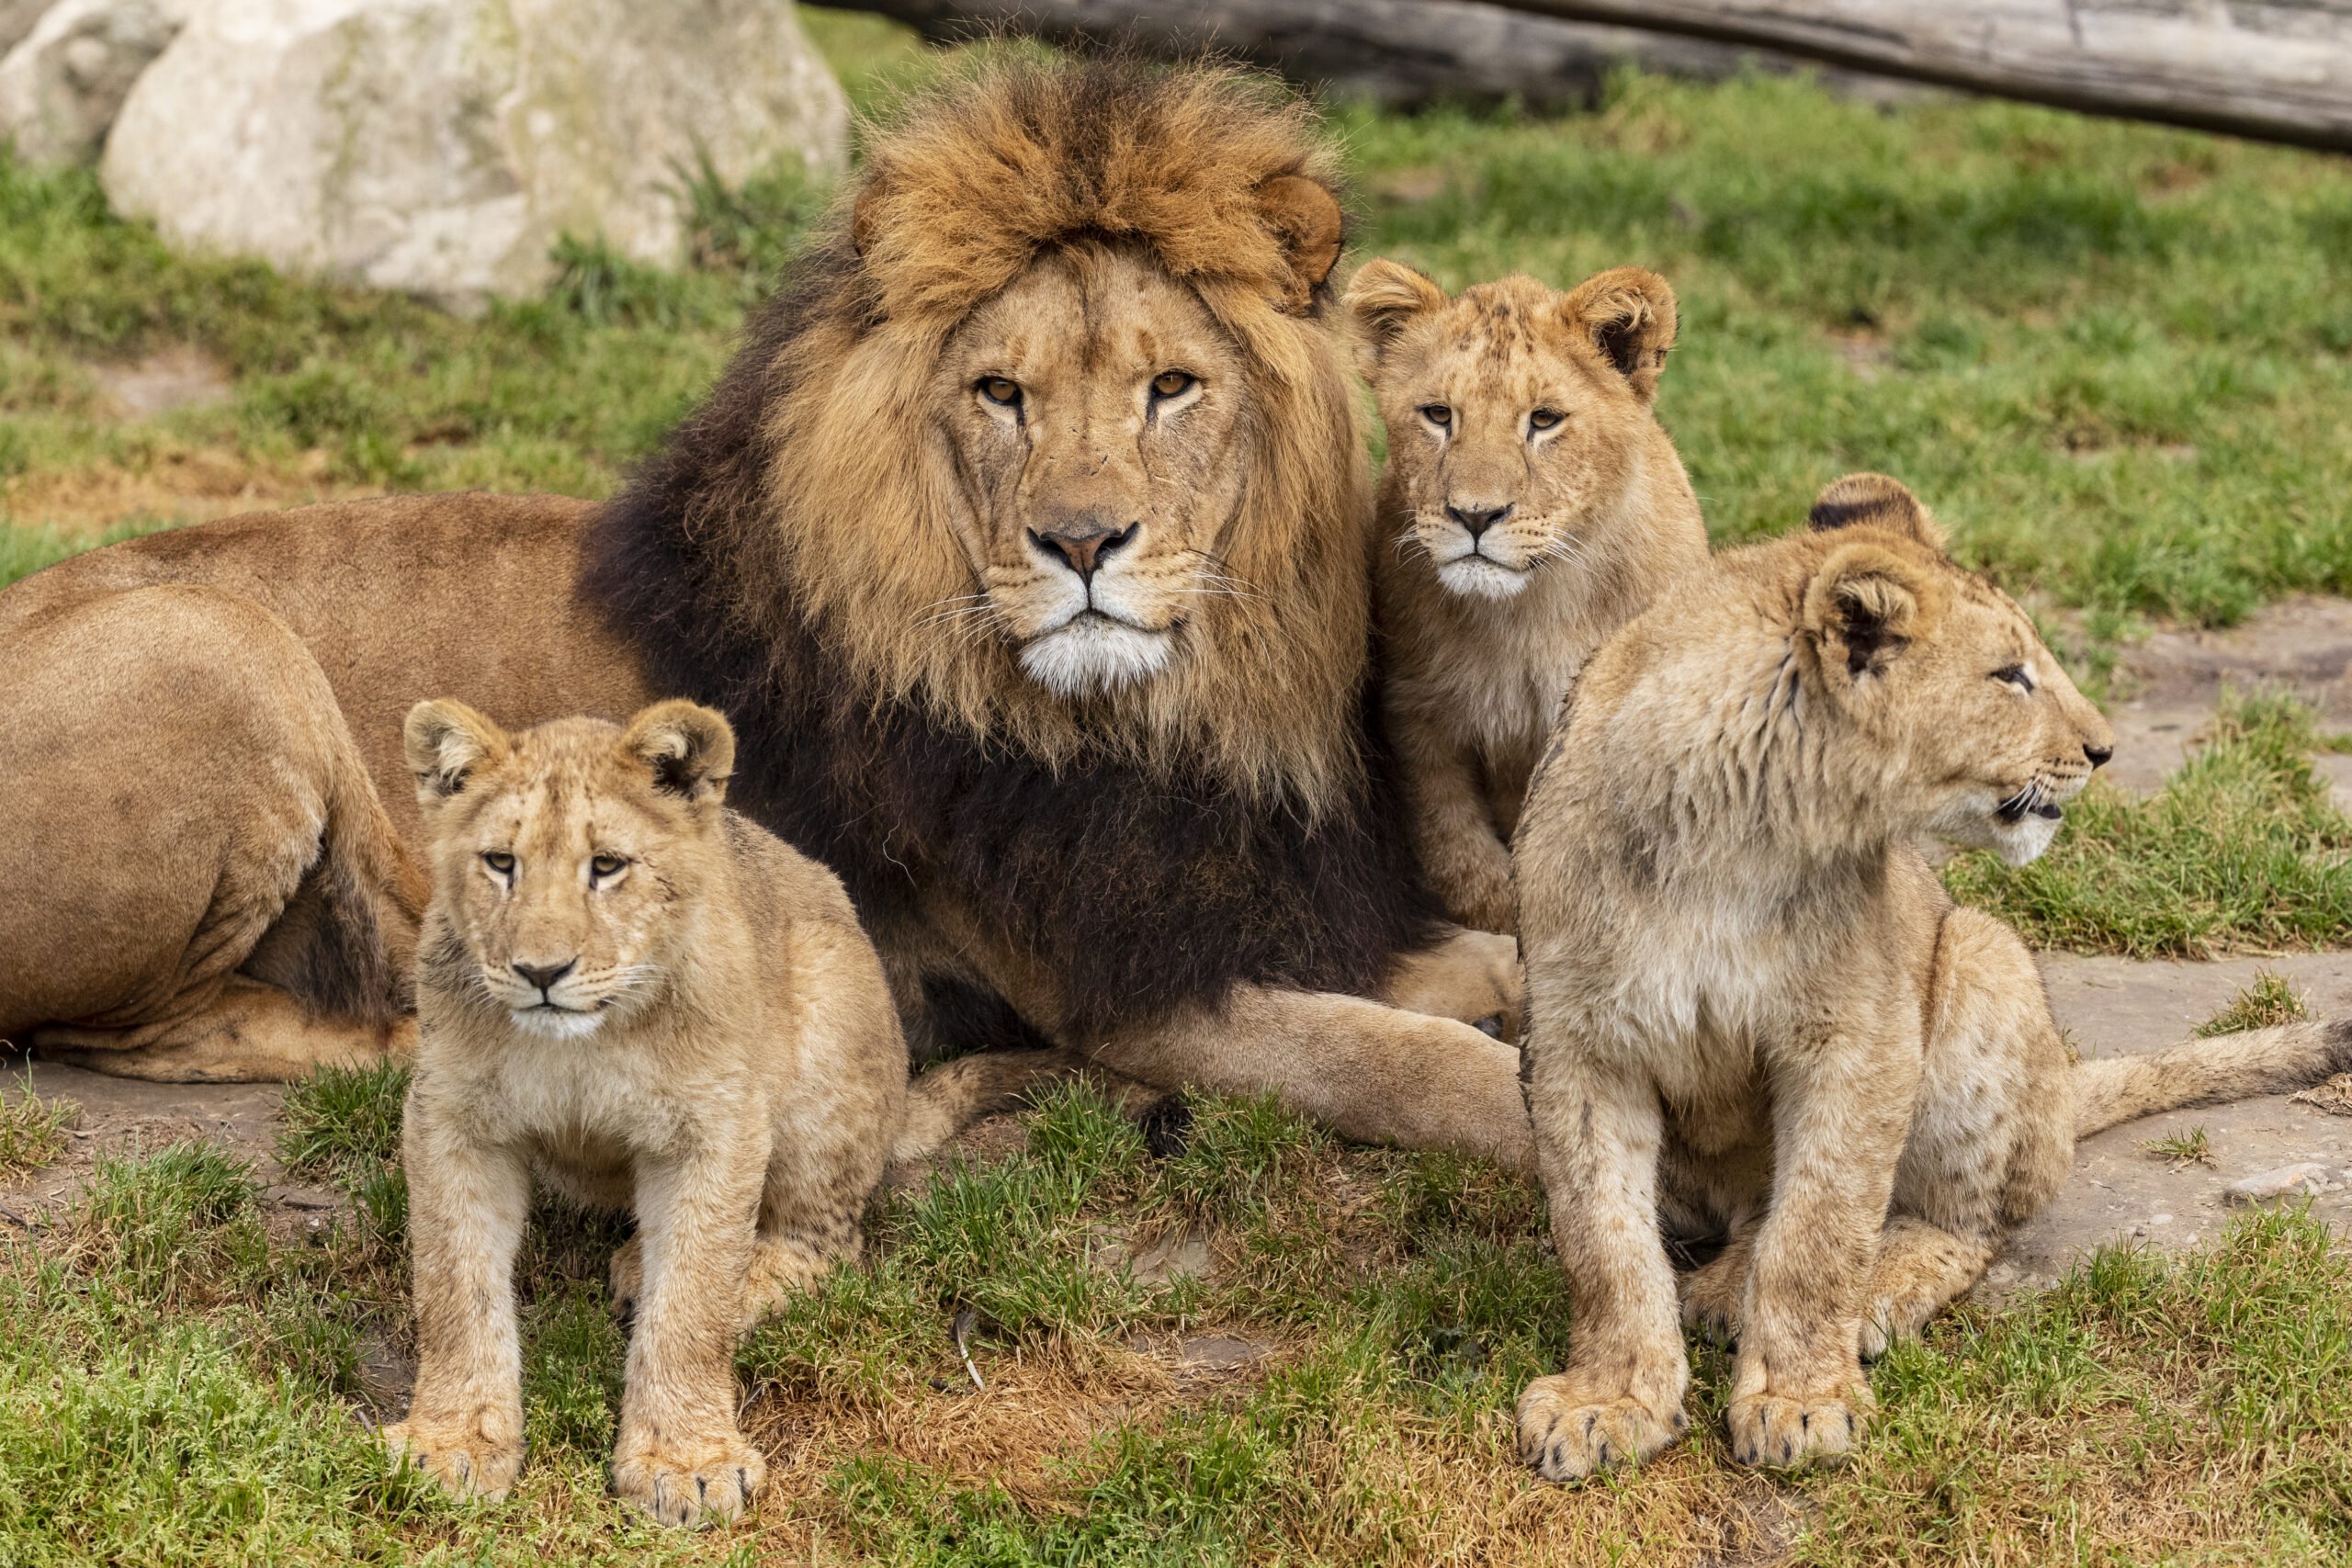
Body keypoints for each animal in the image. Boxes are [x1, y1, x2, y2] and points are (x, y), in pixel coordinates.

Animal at [0, 58, 1523, 1166]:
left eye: (1171, 387)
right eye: (1001, 393)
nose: (1083, 540)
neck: (1152, 715)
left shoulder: (1255, 903)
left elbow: (1485, 962)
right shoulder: (1126, 994)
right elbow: (1406, 1060)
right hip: (219, 643)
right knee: (137, 1028)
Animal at [390, 700, 1053, 1523]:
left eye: (606, 865)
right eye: (499, 862)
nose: (541, 972)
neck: (583, 1043)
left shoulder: (717, 1125)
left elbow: (695, 1294)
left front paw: (686, 1459)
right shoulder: (451, 1117)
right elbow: (454, 1289)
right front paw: (452, 1442)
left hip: (829, 1006)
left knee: (824, 1245)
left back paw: (708, 1280)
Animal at [1345, 257, 1712, 931]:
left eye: (1544, 420)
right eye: (1439, 415)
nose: (1474, 515)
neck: (1526, 614)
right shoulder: (1415, 707)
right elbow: (1452, 839)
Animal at [1505, 479, 2352, 1485]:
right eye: (2009, 675)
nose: (2104, 750)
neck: (1728, 832)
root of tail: (2061, 1098)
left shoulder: (1859, 1033)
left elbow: (1819, 1230)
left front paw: (1799, 1399)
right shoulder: (1576, 1043)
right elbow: (1603, 1240)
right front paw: (1609, 1400)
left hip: (1981, 955)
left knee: (1962, 1226)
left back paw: (1865, 1290)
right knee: (1749, 1216)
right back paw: (1721, 1286)